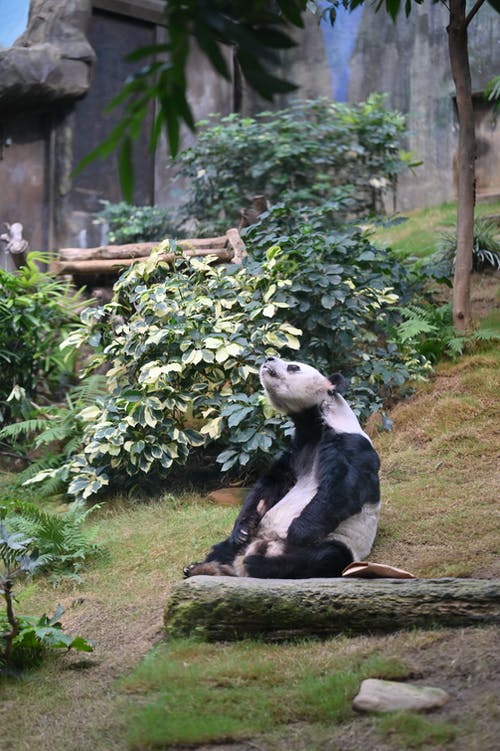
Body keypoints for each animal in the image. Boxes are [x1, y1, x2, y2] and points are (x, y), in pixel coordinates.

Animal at [184, 356, 378, 580]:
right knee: (225, 548)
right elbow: (270, 485)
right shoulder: (296, 450)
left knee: (322, 558)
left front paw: (297, 531)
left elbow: (343, 488)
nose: (269, 358)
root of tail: (266, 546)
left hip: (341, 541)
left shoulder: (350, 444)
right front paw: (242, 528)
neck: (314, 425)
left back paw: (257, 564)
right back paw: (206, 568)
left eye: (293, 366)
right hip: (250, 540)